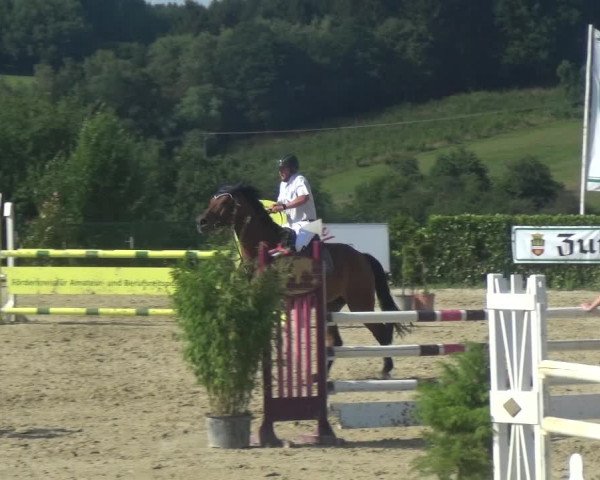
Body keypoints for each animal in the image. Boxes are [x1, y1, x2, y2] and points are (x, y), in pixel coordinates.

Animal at [196, 184, 411, 379]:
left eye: (225, 202)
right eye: (212, 200)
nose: (201, 222)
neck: (263, 252)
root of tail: (362, 256)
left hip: (360, 304)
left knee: (380, 332)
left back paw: (386, 368)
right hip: (331, 306)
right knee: (336, 342)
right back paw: (319, 376)